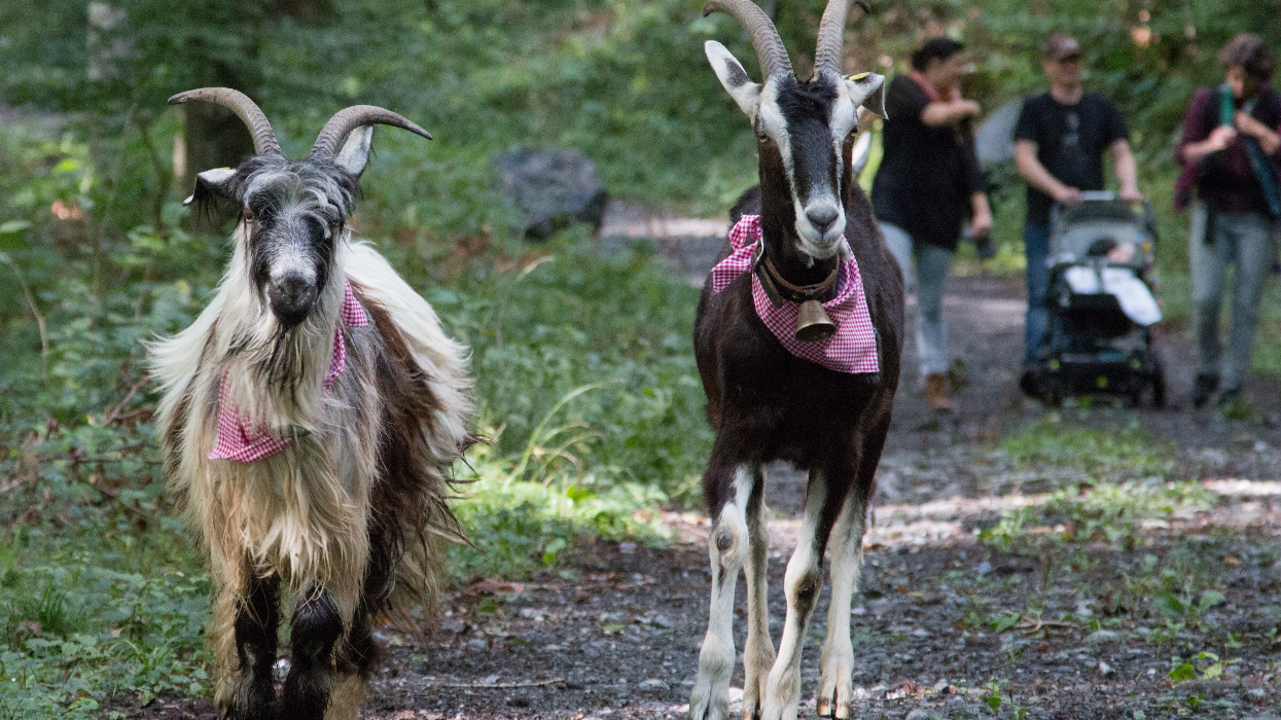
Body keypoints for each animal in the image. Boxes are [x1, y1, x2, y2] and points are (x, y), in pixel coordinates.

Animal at [691, 1, 901, 717]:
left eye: (851, 124)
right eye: (763, 129)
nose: (822, 220)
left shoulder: (839, 444)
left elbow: (809, 571)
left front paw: (786, 696)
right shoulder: (735, 431)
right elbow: (733, 541)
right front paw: (714, 687)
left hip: (876, 431)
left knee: (848, 540)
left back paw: (833, 680)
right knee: (757, 540)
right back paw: (753, 677)